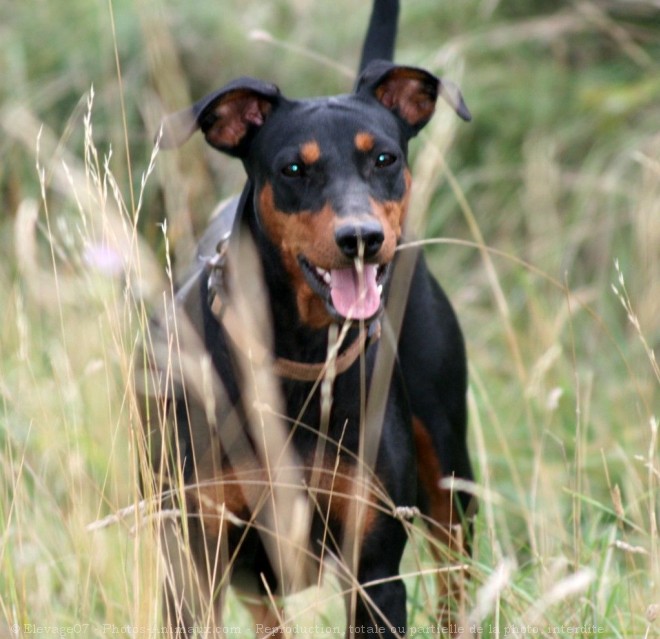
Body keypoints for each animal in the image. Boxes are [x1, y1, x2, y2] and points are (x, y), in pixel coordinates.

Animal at [139, 2, 476, 636]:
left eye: (385, 158)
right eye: (294, 168)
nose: (361, 239)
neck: (300, 355)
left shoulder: (374, 572)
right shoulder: (195, 565)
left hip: (449, 471)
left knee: (457, 581)